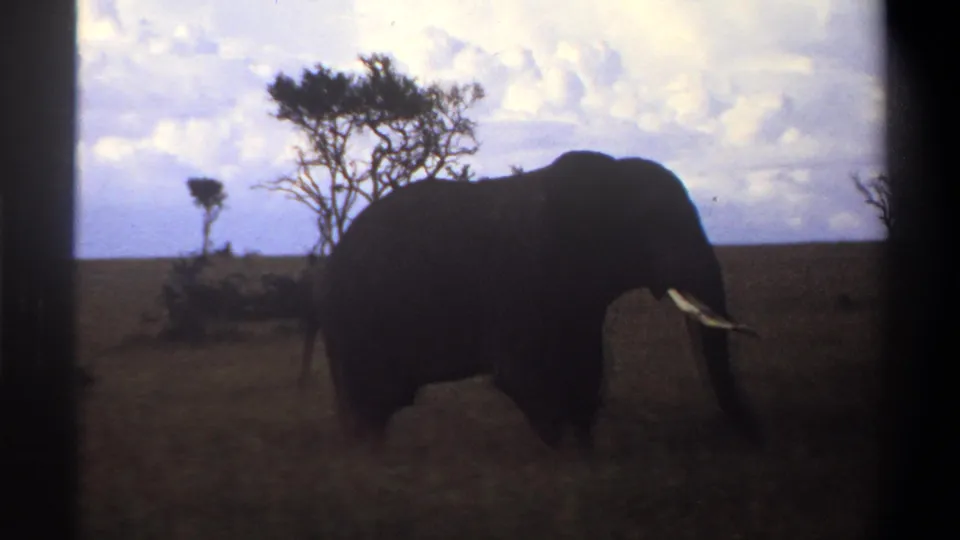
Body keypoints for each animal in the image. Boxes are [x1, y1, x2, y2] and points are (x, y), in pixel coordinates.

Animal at [300, 149, 761, 451]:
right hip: (355, 324)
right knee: (370, 406)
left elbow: (586, 374)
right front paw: (568, 462)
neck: (607, 178)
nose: (750, 437)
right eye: (656, 225)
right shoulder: (523, 277)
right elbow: (526, 380)